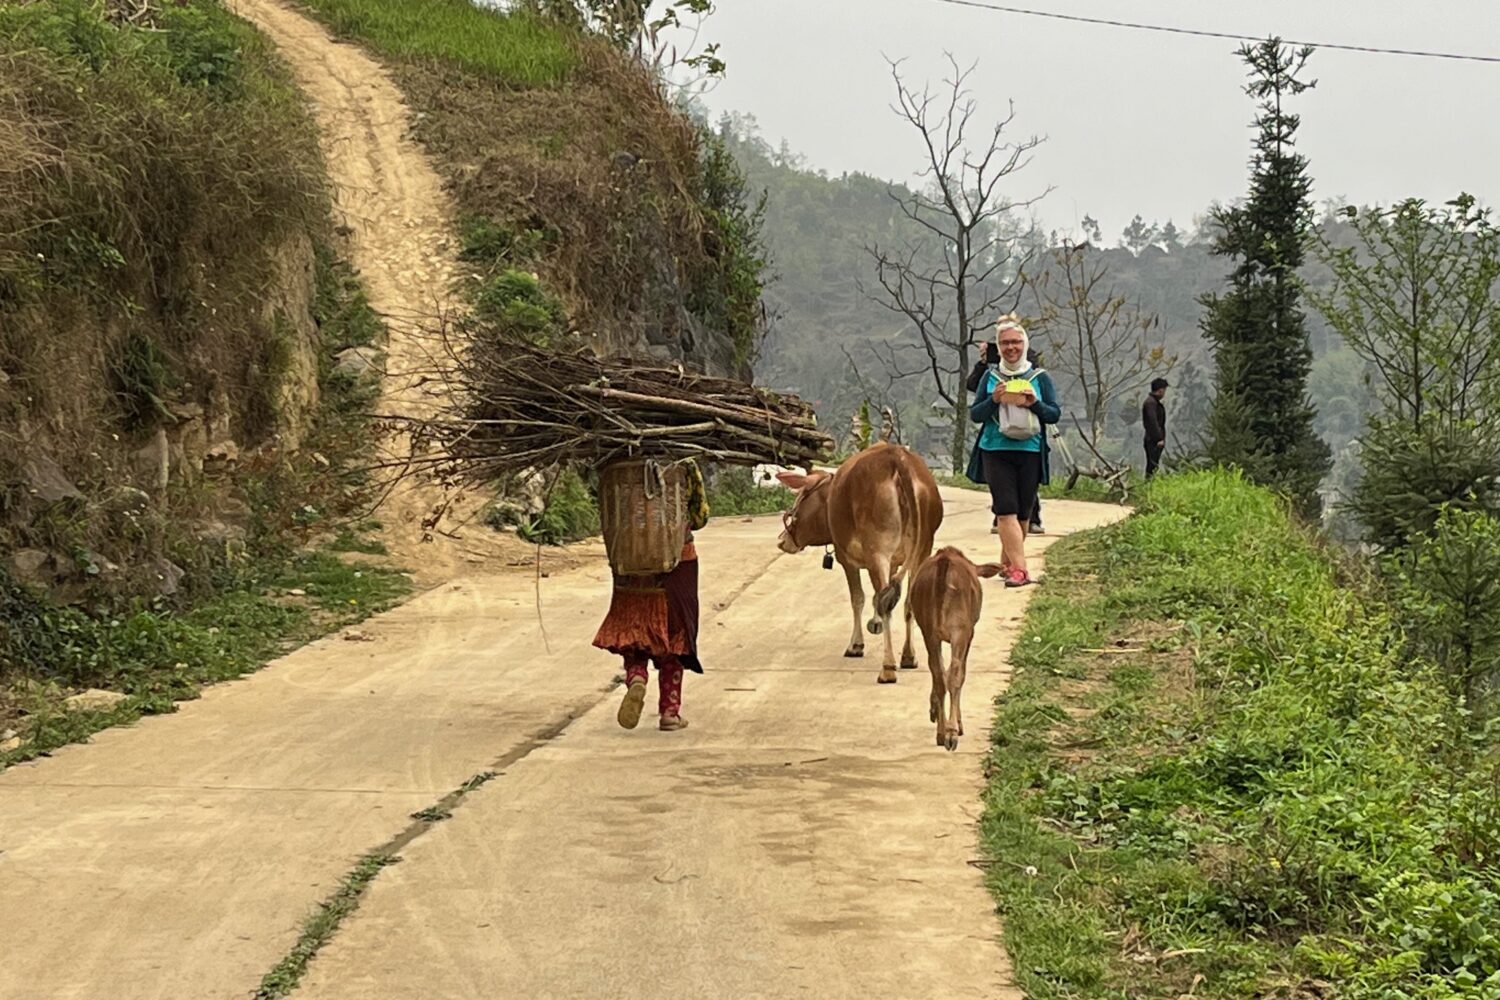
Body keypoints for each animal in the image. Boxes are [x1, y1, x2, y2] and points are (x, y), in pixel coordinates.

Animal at [780, 446, 942, 689]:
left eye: (799, 498)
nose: (782, 540)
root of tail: (897, 456)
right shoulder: (894, 562)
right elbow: (879, 596)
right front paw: (875, 624)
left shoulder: (846, 558)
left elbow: (858, 598)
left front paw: (856, 644)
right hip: (923, 550)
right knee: (906, 602)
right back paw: (908, 656)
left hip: (878, 551)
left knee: (885, 603)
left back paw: (887, 668)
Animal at [906, 548, 1002, 749]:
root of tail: (944, 562)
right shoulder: (968, 634)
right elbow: (958, 673)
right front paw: (957, 723)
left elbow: (941, 671)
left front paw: (934, 709)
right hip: (960, 630)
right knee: (955, 675)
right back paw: (952, 733)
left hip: (929, 631)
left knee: (939, 675)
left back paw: (941, 733)